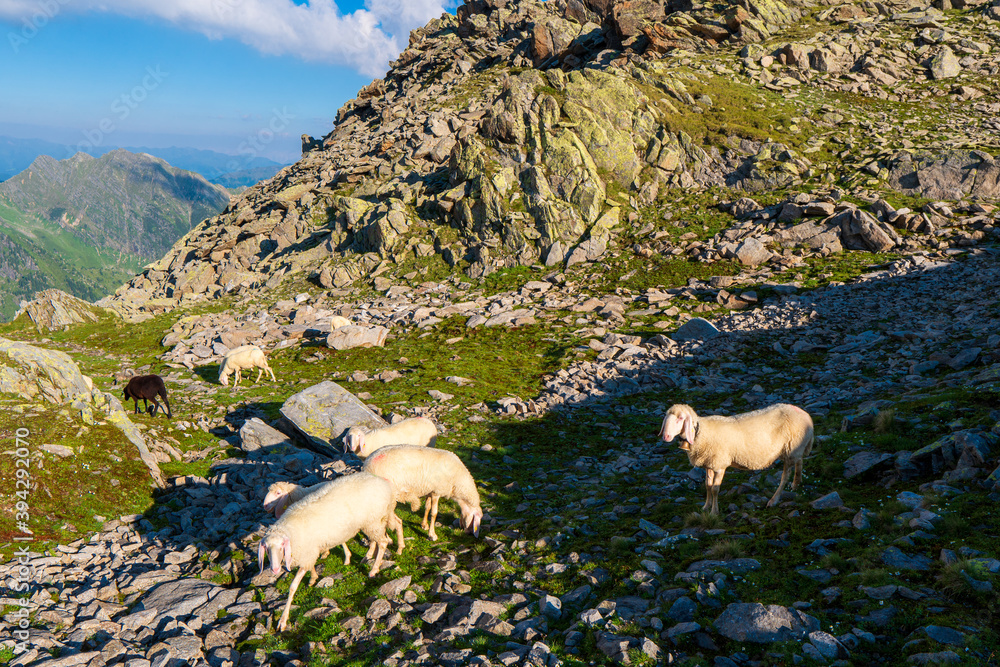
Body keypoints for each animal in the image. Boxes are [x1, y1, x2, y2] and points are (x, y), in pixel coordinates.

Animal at [256, 474, 400, 632]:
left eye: (282, 545)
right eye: (266, 548)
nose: (275, 569)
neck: (290, 531)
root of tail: (383, 482)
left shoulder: (307, 552)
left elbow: (293, 587)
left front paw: (283, 620)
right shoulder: (310, 551)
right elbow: (311, 566)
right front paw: (313, 578)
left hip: (374, 521)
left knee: (383, 542)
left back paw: (374, 569)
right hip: (374, 521)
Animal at [660, 402, 816, 516]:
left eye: (680, 418)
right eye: (666, 419)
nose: (666, 436)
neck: (700, 433)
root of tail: (806, 415)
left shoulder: (719, 464)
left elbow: (715, 489)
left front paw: (714, 512)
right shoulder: (709, 463)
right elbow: (707, 486)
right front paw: (706, 506)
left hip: (791, 448)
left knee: (785, 477)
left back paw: (774, 500)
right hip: (795, 448)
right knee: (799, 461)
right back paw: (796, 484)